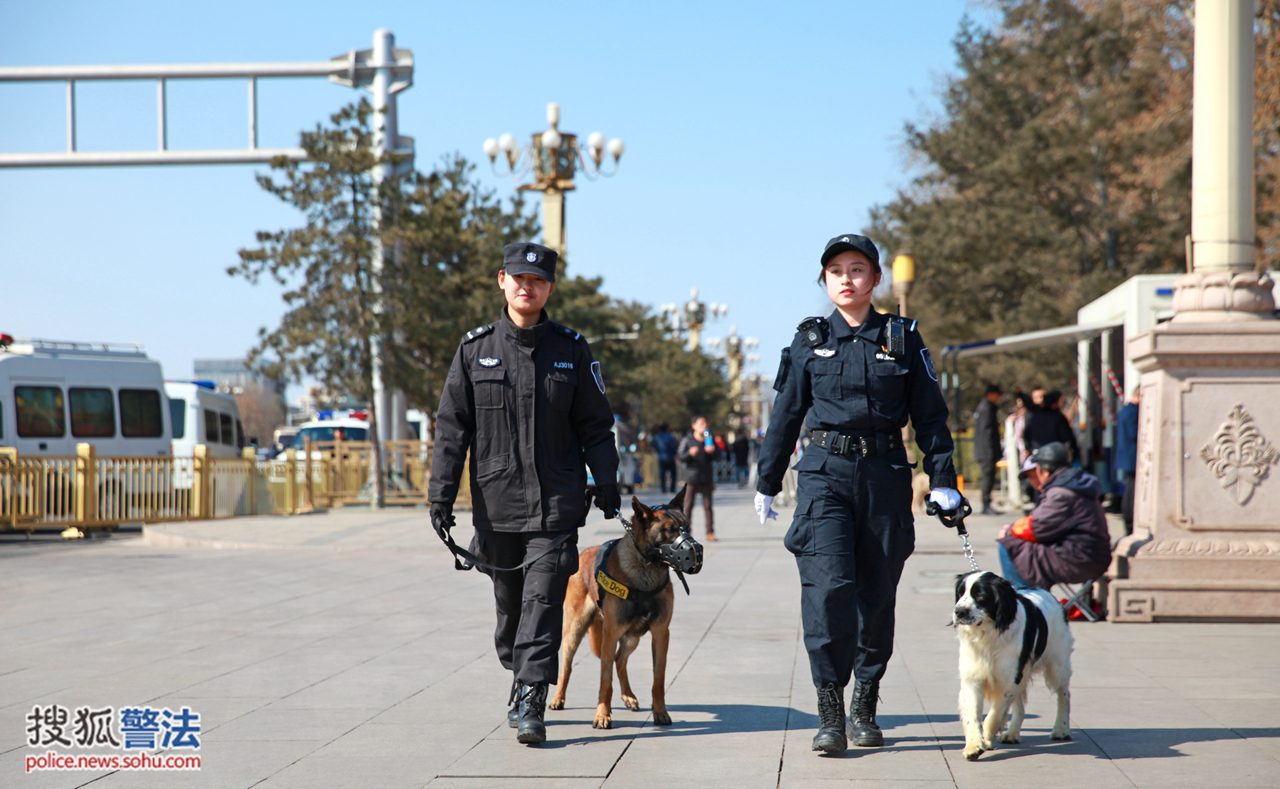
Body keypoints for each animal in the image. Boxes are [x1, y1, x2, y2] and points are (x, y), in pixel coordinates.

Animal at [547, 489, 706, 732]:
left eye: (687, 526)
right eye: (670, 530)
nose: (698, 551)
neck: (646, 567)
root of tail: (583, 553)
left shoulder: (660, 633)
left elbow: (658, 680)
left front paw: (660, 712)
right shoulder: (611, 633)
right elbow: (605, 681)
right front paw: (602, 715)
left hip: (632, 637)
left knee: (619, 660)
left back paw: (628, 696)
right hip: (574, 631)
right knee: (567, 665)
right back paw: (558, 698)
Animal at [952, 571, 1070, 763]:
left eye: (980, 594)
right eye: (960, 593)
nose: (959, 611)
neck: (988, 635)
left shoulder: (1008, 680)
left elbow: (993, 715)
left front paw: (986, 739)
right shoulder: (973, 679)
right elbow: (973, 715)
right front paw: (974, 746)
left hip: (1057, 664)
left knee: (1063, 695)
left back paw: (1061, 729)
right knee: (1020, 704)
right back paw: (1012, 734)